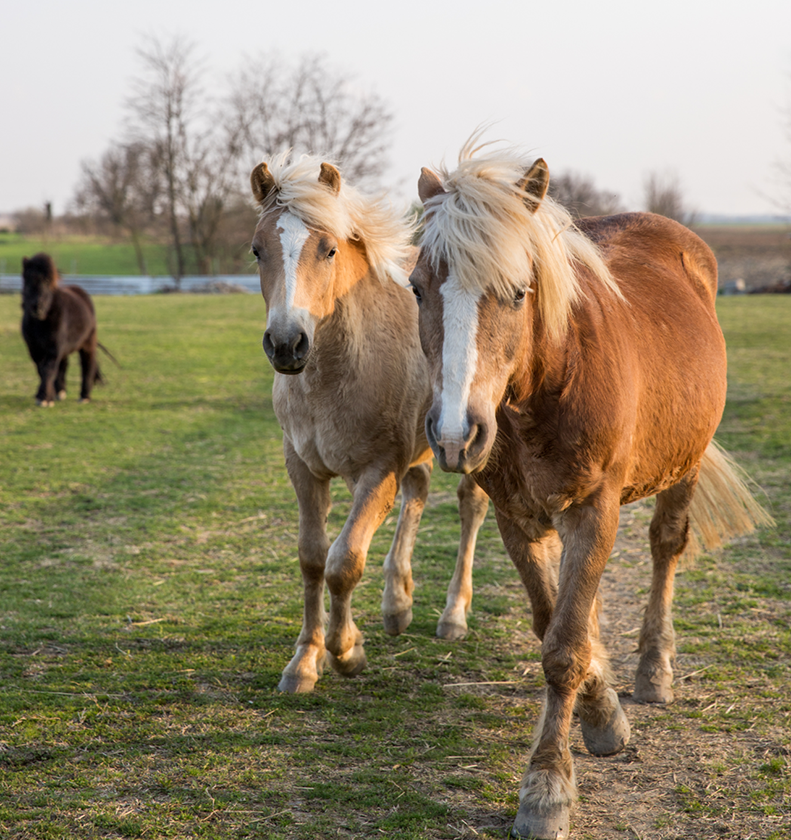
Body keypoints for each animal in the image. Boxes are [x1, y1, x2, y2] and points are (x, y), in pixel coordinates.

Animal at [21, 251, 116, 406]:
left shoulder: (54, 348)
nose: (37, 307)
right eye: (27, 279)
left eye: (47, 281)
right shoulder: (34, 349)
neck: (41, 323)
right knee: (63, 366)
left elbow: (48, 369)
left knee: (87, 364)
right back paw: (60, 392)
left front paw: (44, 398)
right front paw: (48, 395)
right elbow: (42, 370)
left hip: (88, 344)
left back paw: (84, 396)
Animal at [251, 154, 492, 692]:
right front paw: (305, 659)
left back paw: (453, 615)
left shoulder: (378, 470)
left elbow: (344, 561)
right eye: (256, 250)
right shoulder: (303, 468)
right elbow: (312, 558)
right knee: (417, 493)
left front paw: (344, 652)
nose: (286, 343)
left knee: (470, 507)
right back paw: (396, 605)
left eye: (329, 249)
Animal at [408, 141, 772, 836]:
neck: (550, 381)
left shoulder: (593, 509)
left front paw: (547, 788)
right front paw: (601, 713)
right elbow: (553, 619)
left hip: (681, 468)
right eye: (416, 288)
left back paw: (654, 671)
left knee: (666, 545)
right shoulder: (516, 515)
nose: (455, 432)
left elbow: (564, 647)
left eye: (517, 291)